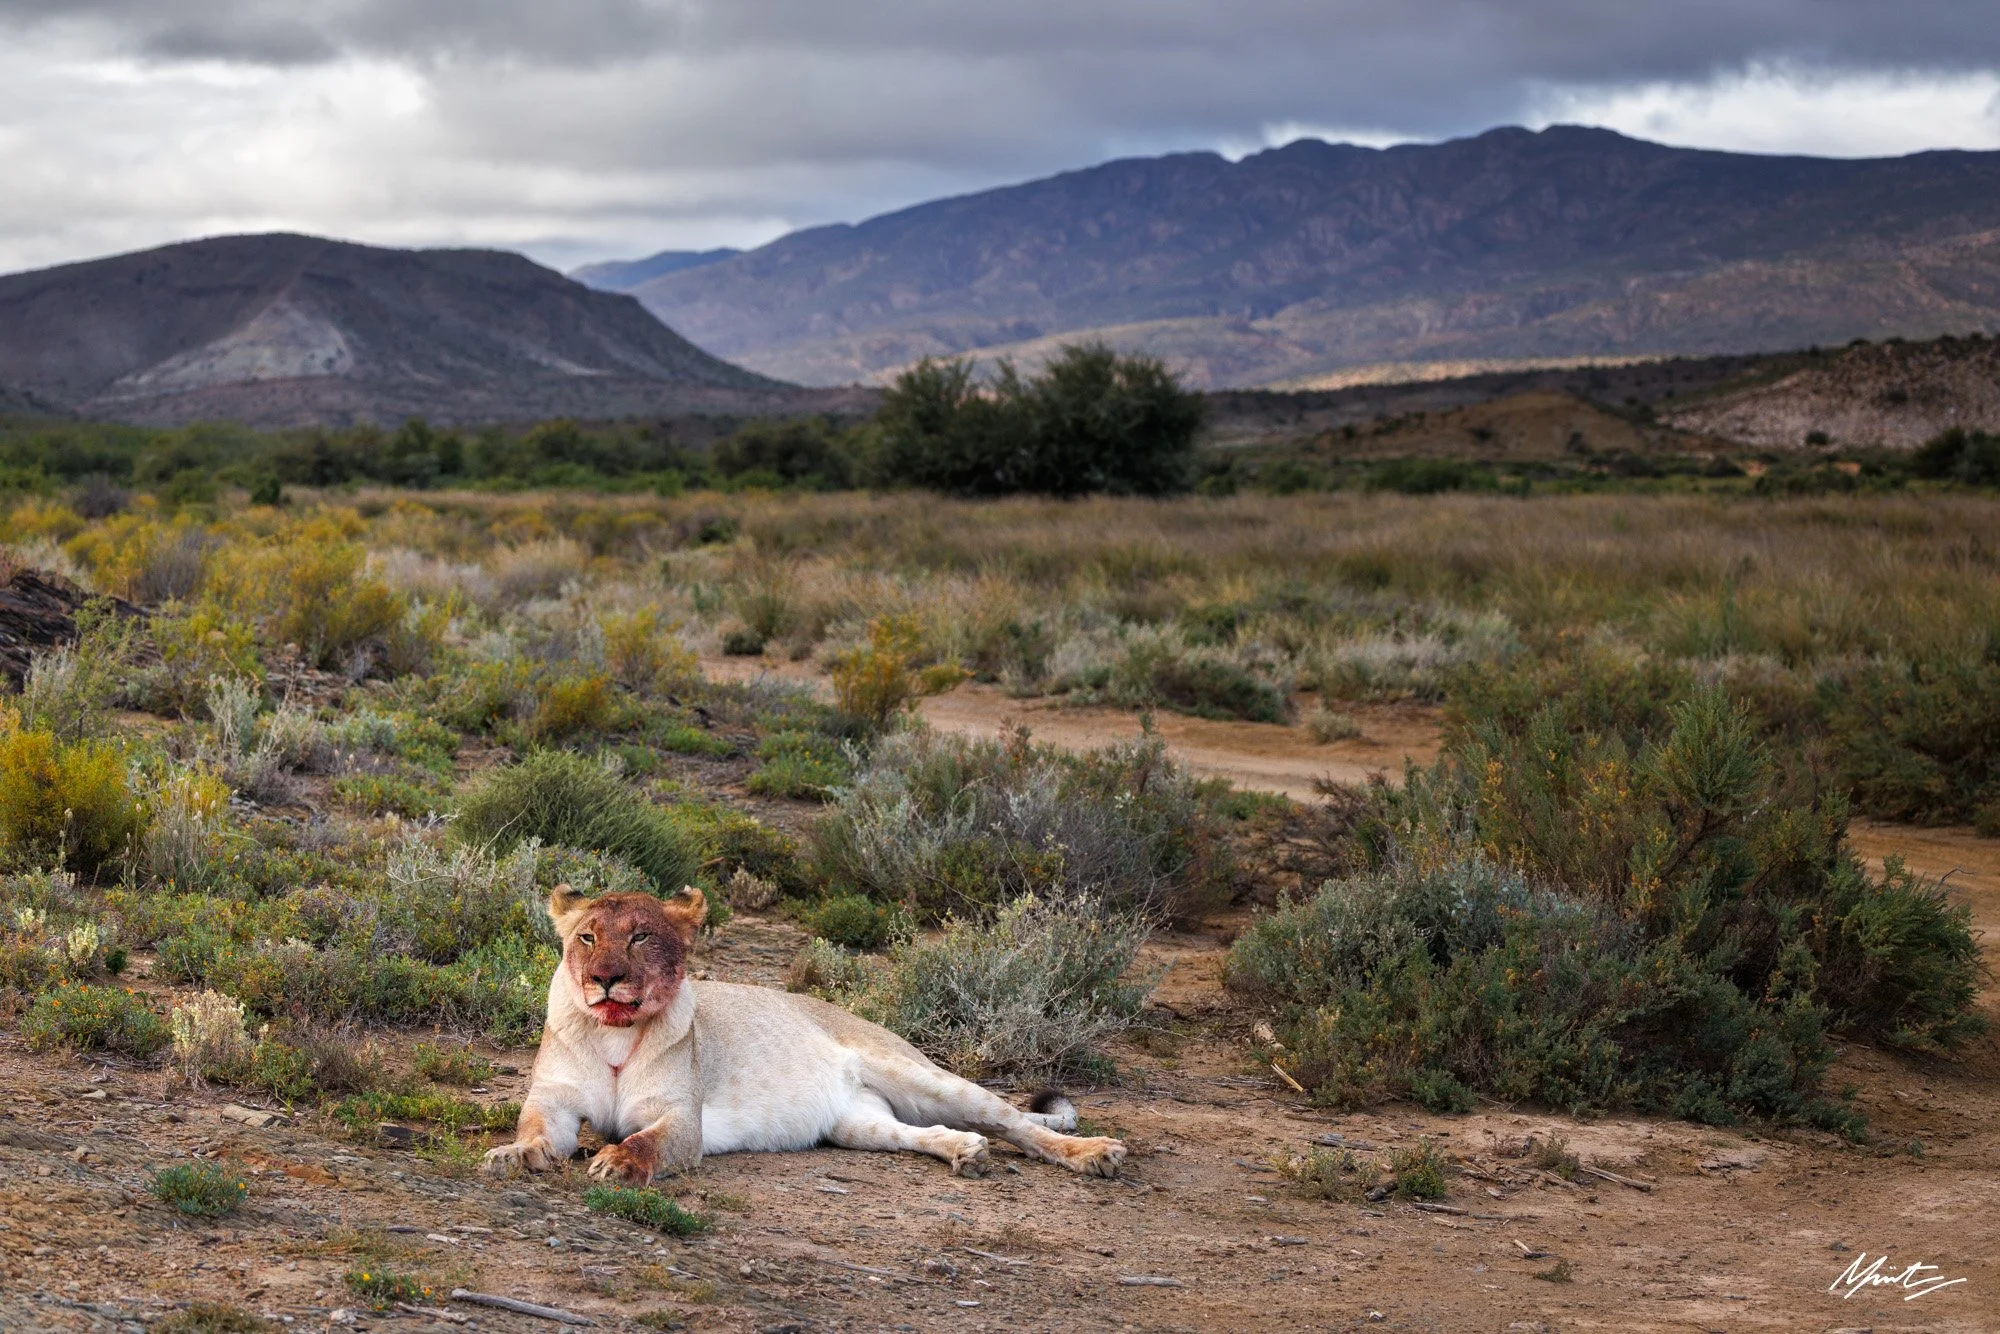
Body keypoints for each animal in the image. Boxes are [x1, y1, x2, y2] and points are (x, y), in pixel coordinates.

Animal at [482, 885, 1128, 1185]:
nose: (605, 979)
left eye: (641, 937)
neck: (615, 1036)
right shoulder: (554, 1103)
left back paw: (1096, 1153)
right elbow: (536, 1130)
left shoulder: (681, 1118)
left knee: (1018, 1123)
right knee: (918, 1132)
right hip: (855, 1123)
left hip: (919, 1074)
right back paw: (964, 1152)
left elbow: (648, 1142)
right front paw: (513, 1156)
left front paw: (616, 1162)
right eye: (587, 937)